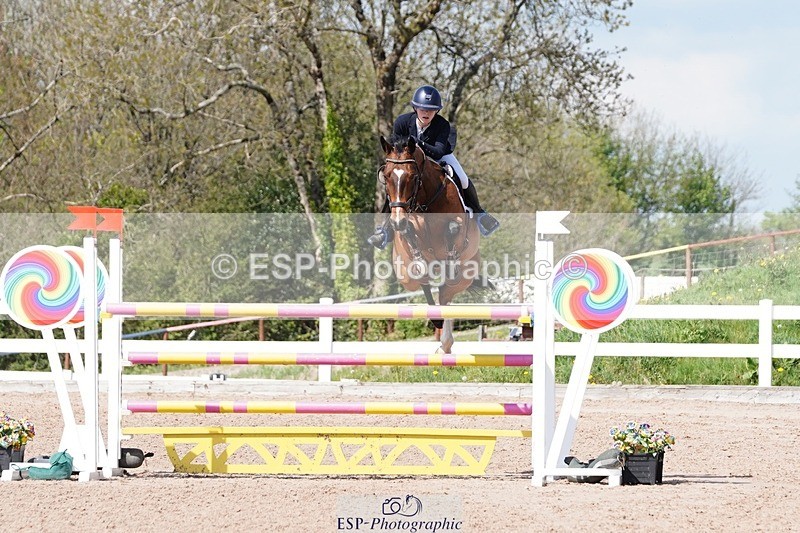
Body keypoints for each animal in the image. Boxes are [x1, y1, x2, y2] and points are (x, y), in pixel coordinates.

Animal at [379, 135, 485, 353]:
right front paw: (418, 258)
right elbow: (409, 231)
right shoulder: (410, 220)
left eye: (412, 177)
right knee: (425, 284)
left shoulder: (459, 224)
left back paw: (445, 342)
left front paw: (451, 259)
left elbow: (452, 228)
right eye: (386, 176)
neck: (426, 200)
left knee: (444, 296)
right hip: (406, 278)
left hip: (463, 277)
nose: (396, 222)